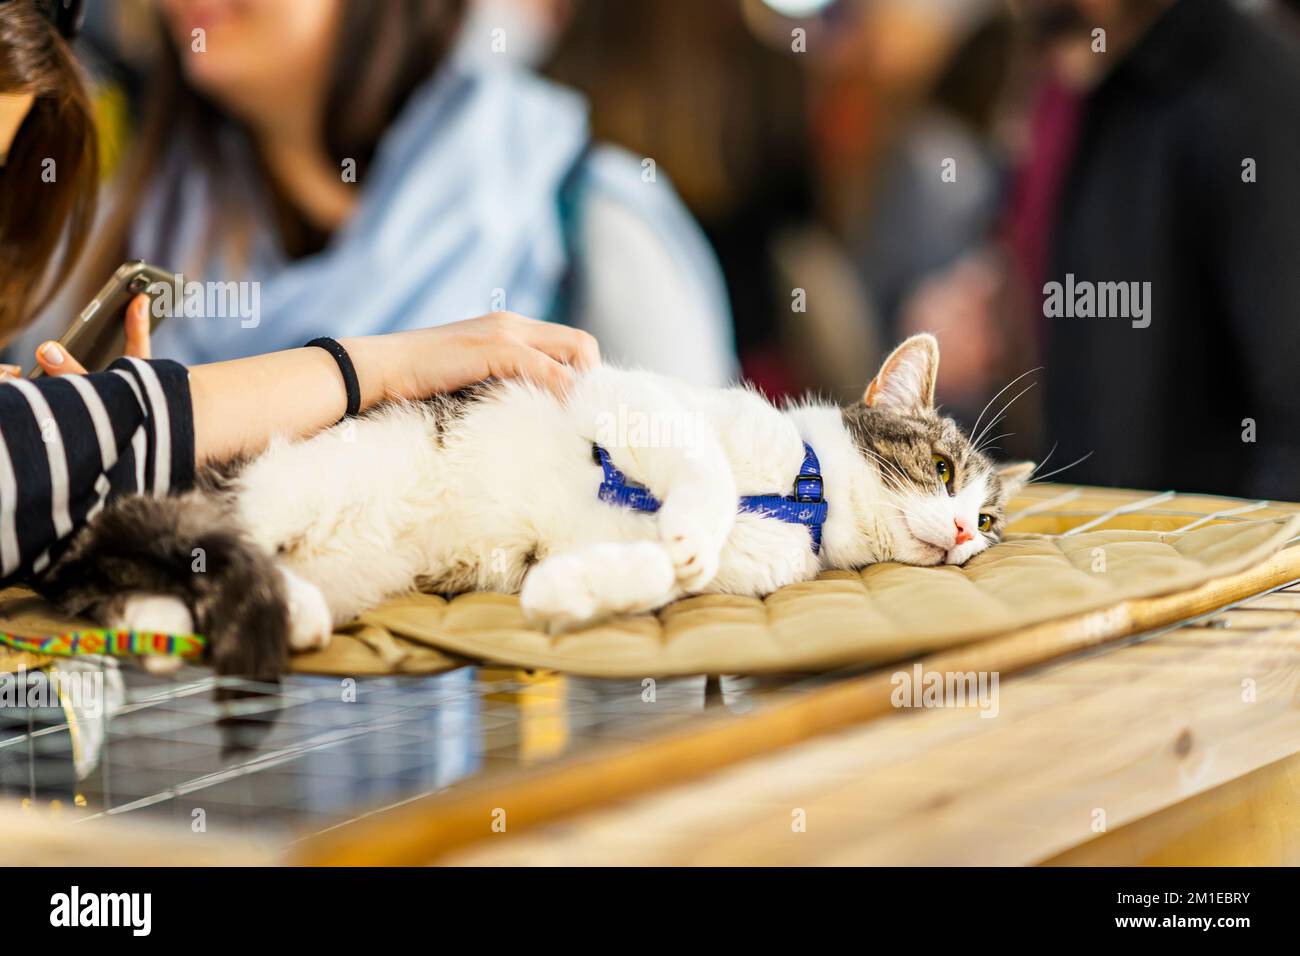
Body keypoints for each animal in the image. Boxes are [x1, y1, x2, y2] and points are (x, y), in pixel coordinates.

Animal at [35, 335, 1034, 681]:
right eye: (941, 467)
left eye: (988, 525)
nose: (961, 532)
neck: (806, 501)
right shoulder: (635, 401)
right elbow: (701, 470)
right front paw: (689, 520)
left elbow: (660, 579)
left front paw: (573, 590)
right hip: (289, 485)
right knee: (129, 551)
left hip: (359, 561)